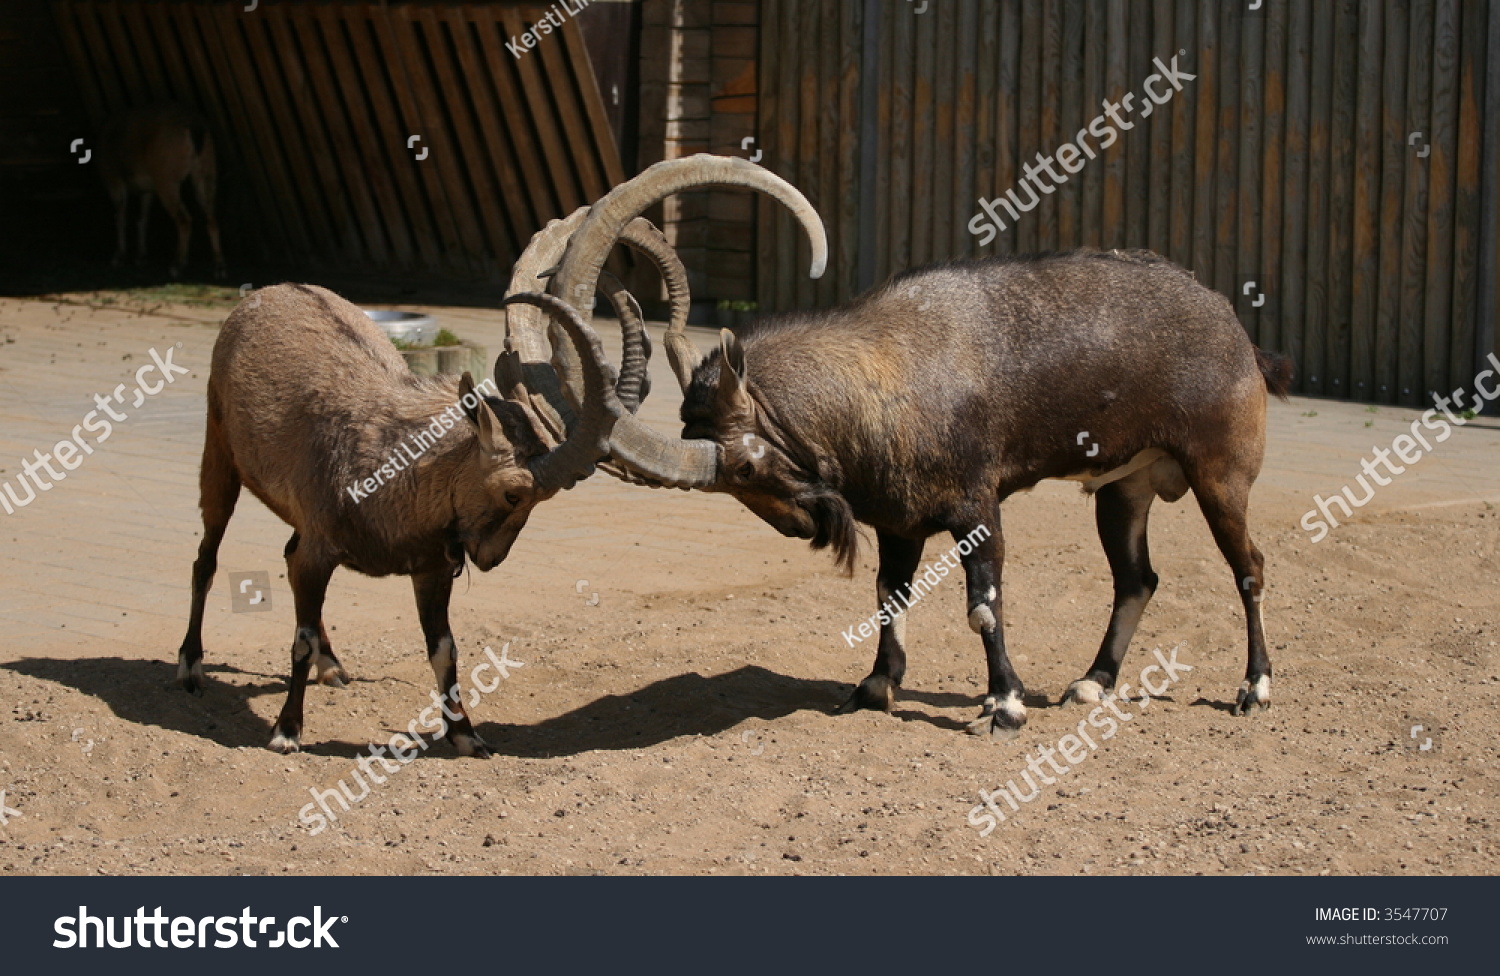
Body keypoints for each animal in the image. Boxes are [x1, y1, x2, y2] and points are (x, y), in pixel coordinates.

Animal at [99, 103, 225, 278]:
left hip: (167, 177)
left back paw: (177, 265)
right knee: (211, 217)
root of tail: (196, 129)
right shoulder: (147, 188)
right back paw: (219, 267)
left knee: (184, 218)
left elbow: (120, 218)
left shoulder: (114, 178)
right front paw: (141, 257)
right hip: (207, 170)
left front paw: (119, 258)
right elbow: (142, 218)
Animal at [178, 281, 618, 755]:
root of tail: (273, 290)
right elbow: (301, 639)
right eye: (513, 493)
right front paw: (286, 732)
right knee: (206, 558)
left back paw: (331, 666)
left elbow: (444, 649)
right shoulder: (319, 554)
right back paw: (191, 665)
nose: (490, 559)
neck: (392, 473)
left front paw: (466, 736)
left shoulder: (431, 568)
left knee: (286, 555)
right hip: (219, 451)